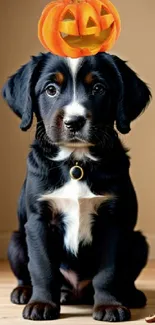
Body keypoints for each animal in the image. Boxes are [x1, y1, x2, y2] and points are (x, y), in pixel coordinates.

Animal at [2, 52, 151, 320]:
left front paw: (109, 305)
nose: (74, 122)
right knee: (25, 272)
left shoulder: (111, 220)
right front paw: (41, 303)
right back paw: (25, 292)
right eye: (50, 89)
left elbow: (108, 272)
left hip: (138, 241)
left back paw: (131, 294)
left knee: (126, 276)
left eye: (98, 88)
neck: (76, 163)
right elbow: (41, 267)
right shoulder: (39, 220)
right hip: (16, 240)